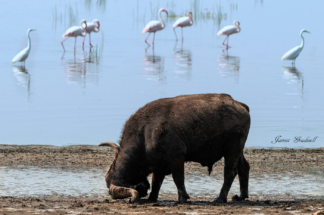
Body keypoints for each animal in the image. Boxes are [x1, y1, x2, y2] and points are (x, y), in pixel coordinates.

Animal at [98, 93, 251, 203]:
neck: (144, 134)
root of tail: (240, 105)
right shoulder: (157, 165)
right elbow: (156, 181)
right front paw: (152, 198)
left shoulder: (177, 158)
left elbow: (178, 179)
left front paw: (182, 198)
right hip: (238, 150)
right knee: (244, 167)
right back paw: (241, 196)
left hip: (232, 149)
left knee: (230, 173)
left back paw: (220, 198)